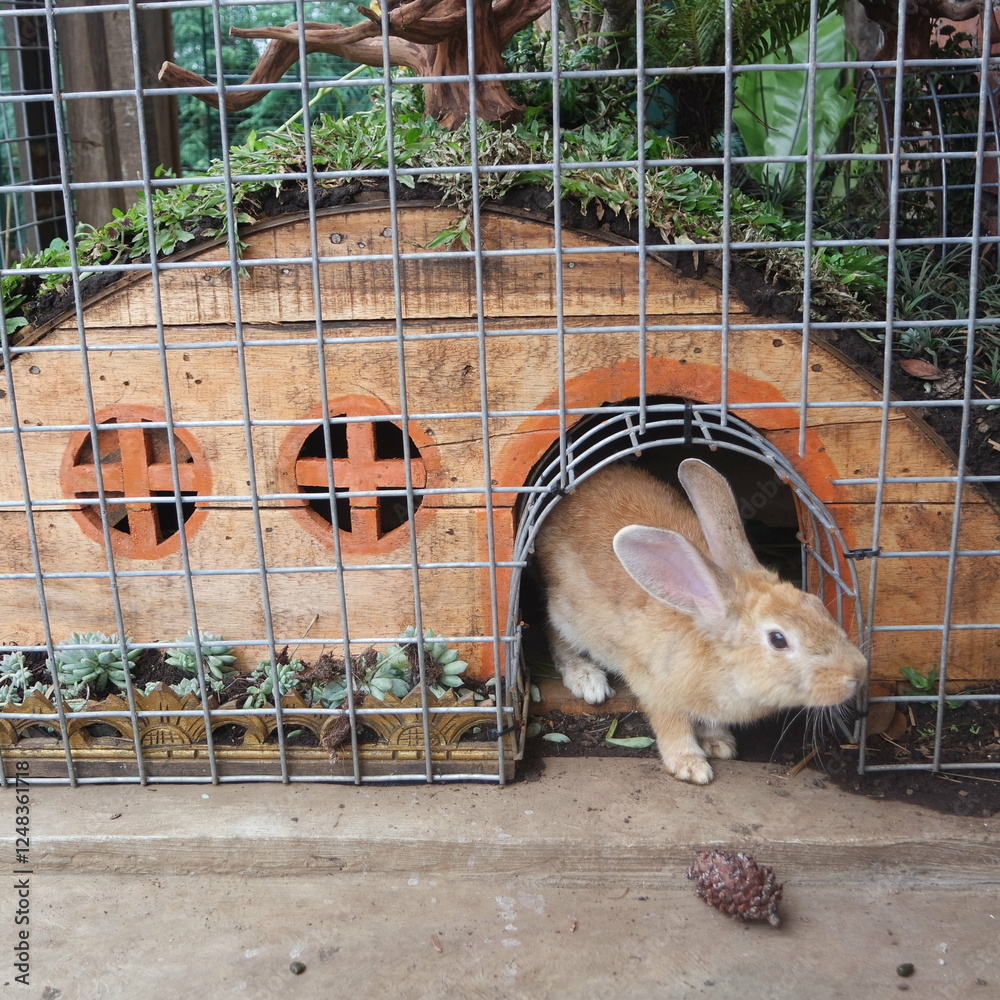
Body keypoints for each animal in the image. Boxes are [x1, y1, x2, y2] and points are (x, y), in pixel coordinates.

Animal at [534, 458, 867, 784]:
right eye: (778, 639)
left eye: (815, 603)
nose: (857, 672)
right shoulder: (656, 688)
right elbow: (672, 725)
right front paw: (690, 766)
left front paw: (719, 743)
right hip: (567, 615)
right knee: (556, 638)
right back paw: (588, 680)